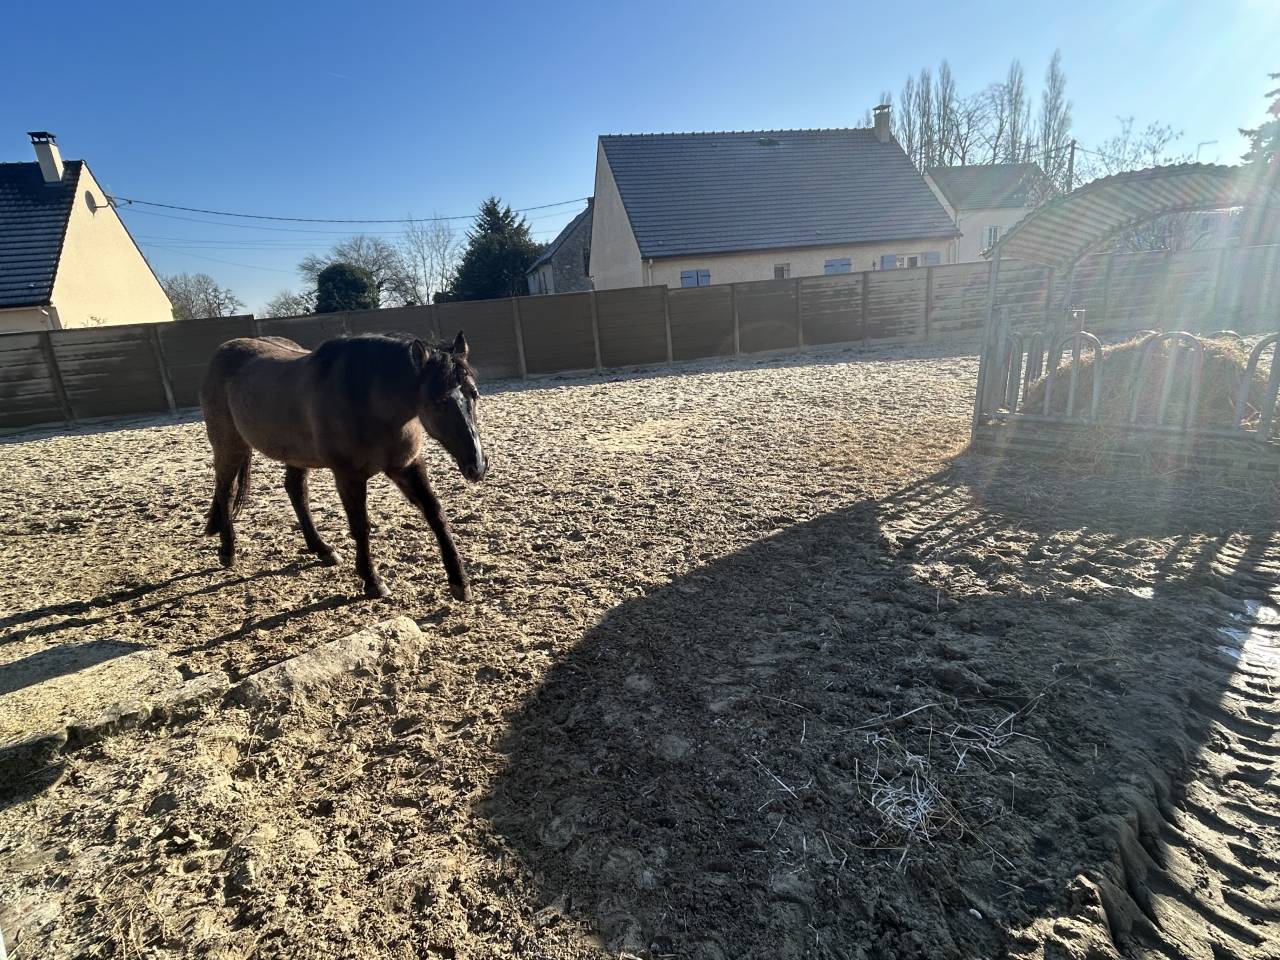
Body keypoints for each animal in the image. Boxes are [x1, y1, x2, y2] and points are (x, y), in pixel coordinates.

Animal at [199, 331, 487, 600]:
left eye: (474, 394)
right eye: (439, 402)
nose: (477, 465)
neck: (369, 401)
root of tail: (224, 350)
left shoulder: (407, 467)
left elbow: (435, 513)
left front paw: (460, 582)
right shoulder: (349, 476)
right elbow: (360, 525)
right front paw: (372, 581)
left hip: (294, 454)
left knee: (296, 491)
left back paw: (322, 549)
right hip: (229, 445)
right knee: (225, 491)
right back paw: (228, 551)